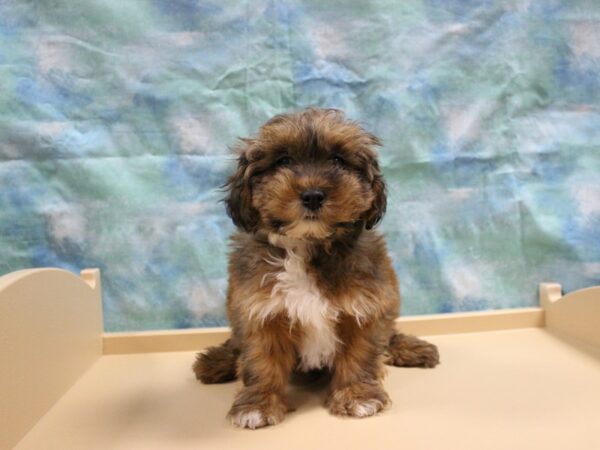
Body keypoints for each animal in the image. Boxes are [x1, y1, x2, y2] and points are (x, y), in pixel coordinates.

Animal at [195, 107, 438, 428]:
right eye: (283, 161)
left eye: (337, 160)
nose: (312, 195)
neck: (307, 246)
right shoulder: (259, 311)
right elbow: (261, 360)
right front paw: (258, 403)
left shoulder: (365, 306)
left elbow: (360, 353)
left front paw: (356, 395)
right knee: (235, 343)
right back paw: (216, 361)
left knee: (389, 333)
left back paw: (412, 348)